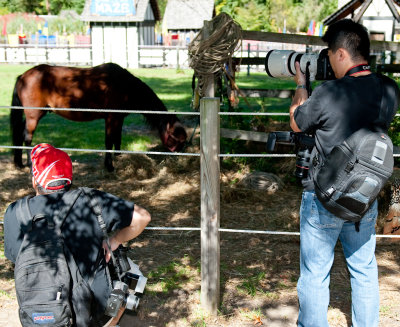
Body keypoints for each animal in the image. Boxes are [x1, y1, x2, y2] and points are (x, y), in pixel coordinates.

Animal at [10, 62, 188, 173]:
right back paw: (29, 163)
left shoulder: (119, 119)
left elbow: (117, 139)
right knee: (27, 137)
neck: (125, 86)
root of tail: (22, 76)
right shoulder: (111, 119)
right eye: (174, 138)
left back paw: (19, 163)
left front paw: (118, 158)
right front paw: (109, 167)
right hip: (33, 116)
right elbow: (109, 141)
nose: (179, 157)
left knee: (19, 133)